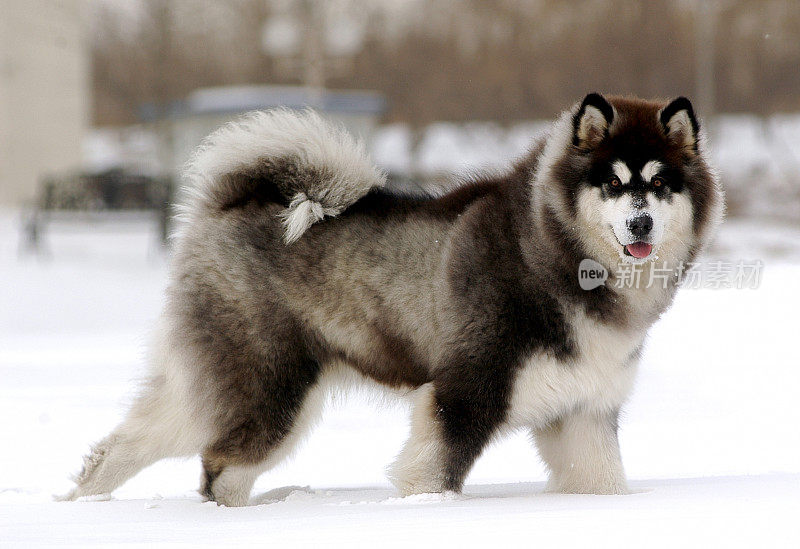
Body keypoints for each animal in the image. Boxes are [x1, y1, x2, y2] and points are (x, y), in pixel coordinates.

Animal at [62, 91, 720, 506]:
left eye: (661, 183)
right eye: (612, 182)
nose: (640, 223)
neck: (554, 255)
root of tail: (228, 203)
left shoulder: (583, 411)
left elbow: (605, 484)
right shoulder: (465, 395)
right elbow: (429, 476)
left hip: (209, 385)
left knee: (127, 445)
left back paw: (79, 503)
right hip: (269, 395)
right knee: (220, 472)